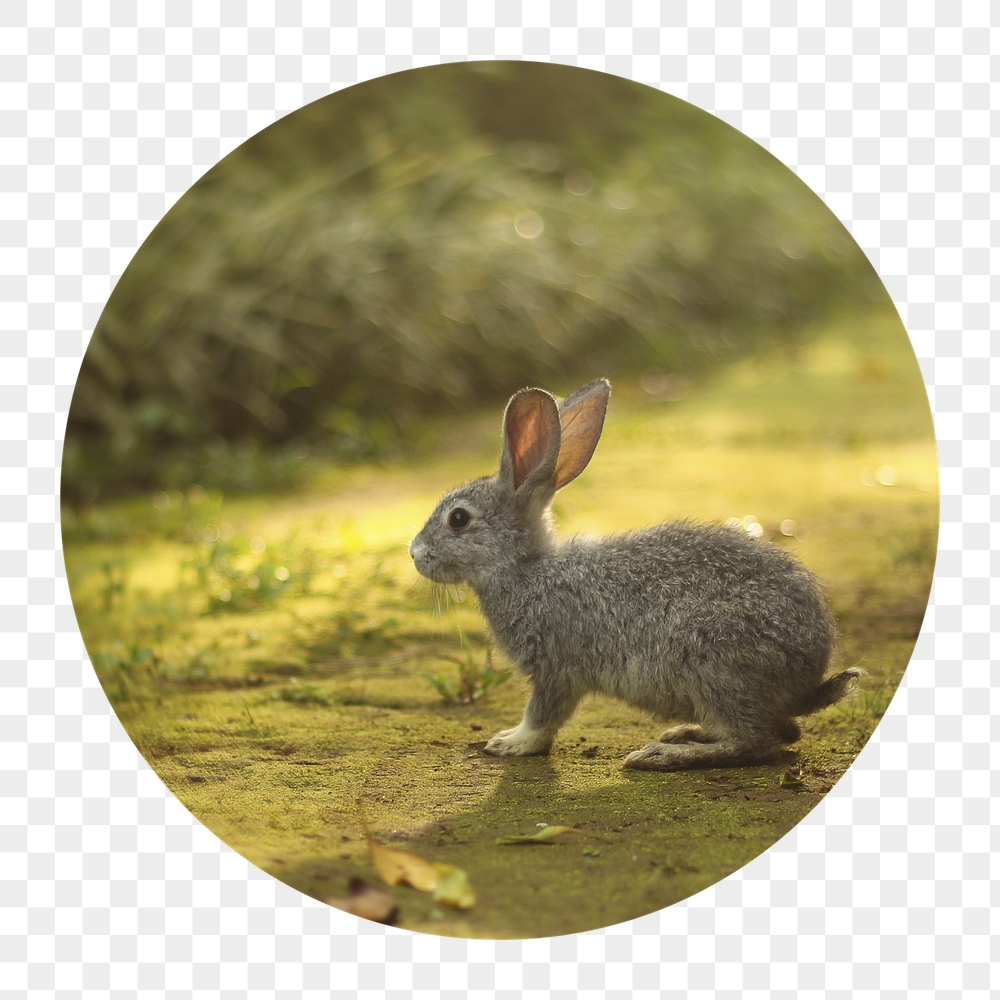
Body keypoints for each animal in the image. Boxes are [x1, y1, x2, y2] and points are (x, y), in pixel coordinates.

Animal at [408, 378, 859, 770]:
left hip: (716, 664)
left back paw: (664, 755)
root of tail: (808, 677)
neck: (525, 568)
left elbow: (544, 714)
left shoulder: (557, 666)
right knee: (782, 732)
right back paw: (685, 733)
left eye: (459, 519)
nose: (414, 553)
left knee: (758, 742)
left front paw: (512, 743)